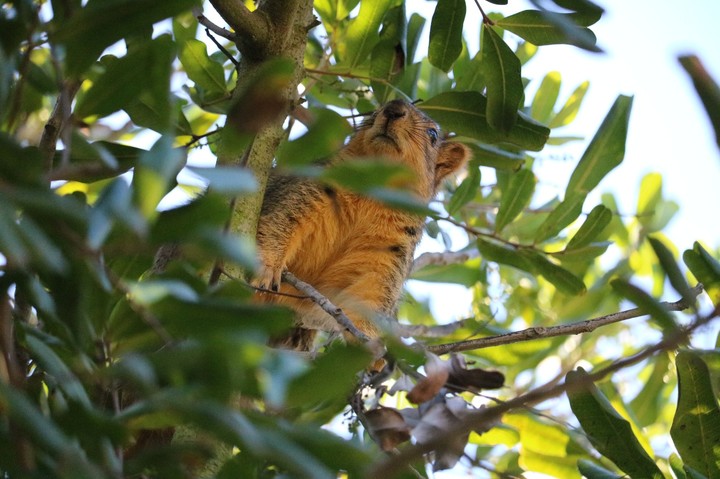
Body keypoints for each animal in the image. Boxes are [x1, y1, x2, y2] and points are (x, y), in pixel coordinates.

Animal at [255, 99, 470, 349]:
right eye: (375, 111)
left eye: (433, 134)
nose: (394, 108)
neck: (375, 188)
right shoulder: (300, 193)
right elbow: (278, 225)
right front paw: (266, 266)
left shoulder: (388, 252)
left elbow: (370, 295)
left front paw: (368, 344)